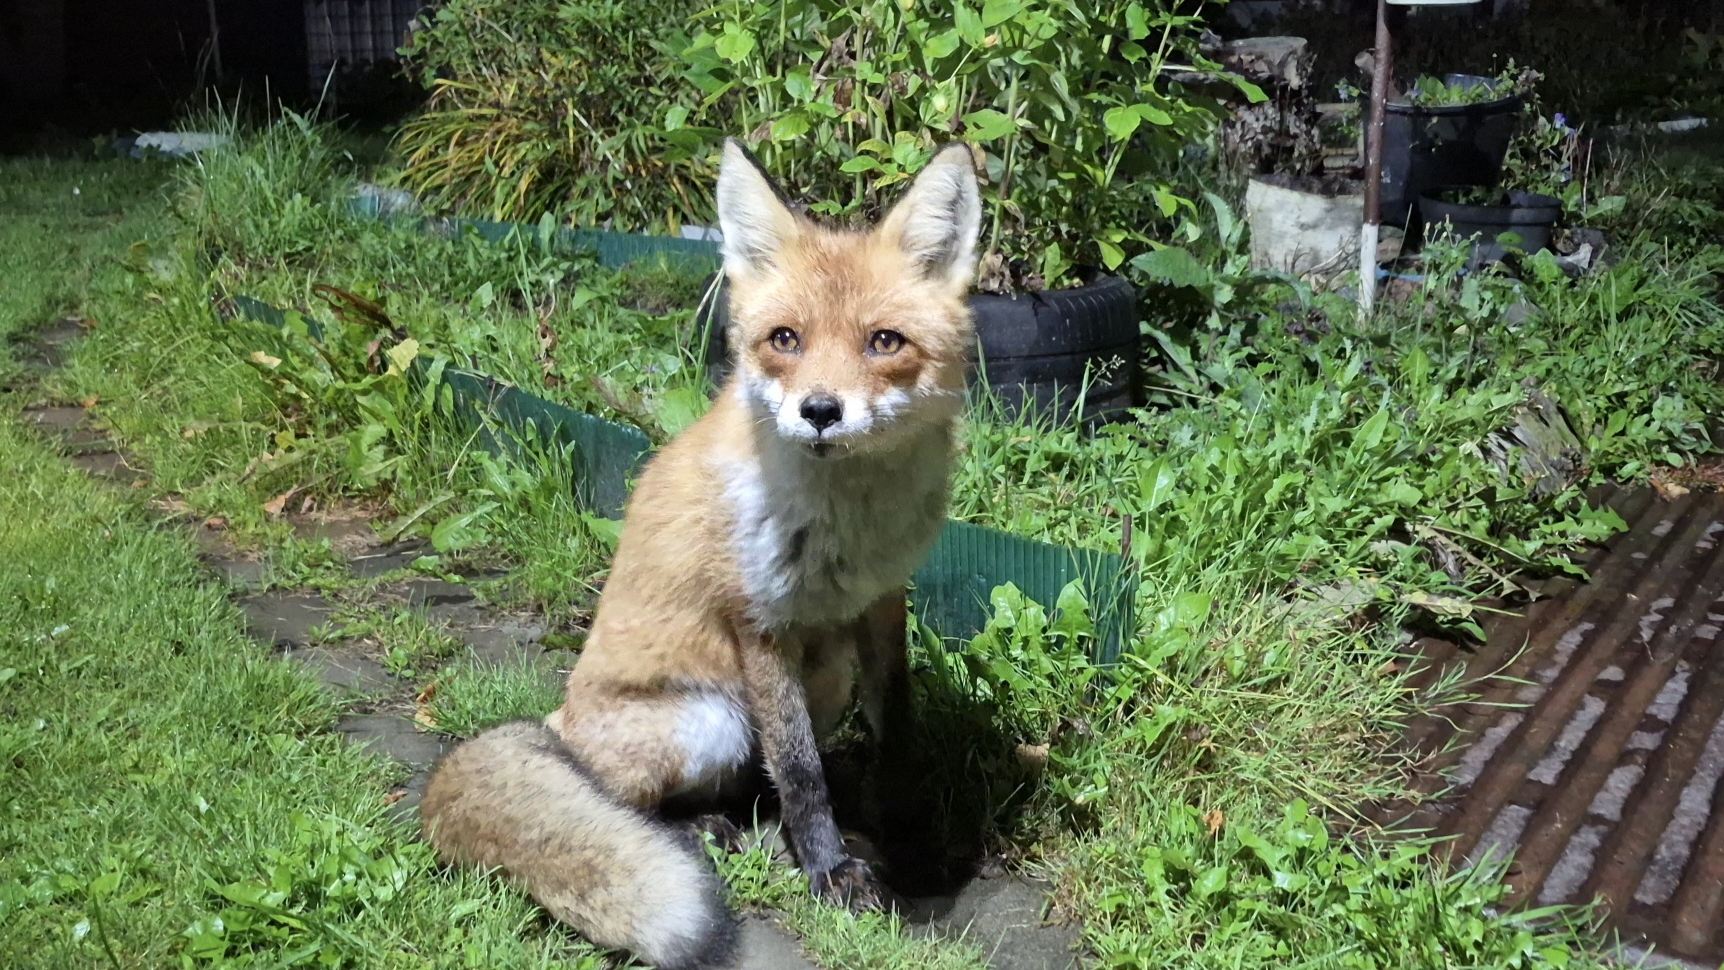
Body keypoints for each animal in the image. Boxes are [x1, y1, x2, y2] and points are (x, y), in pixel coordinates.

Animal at [419, 137, 983, 970]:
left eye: (884, 342)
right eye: (785, 340)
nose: (820, 411)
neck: (848, 525)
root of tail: (557, 722)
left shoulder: (882, 603)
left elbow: (894, 735)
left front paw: (905, 839)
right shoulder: (759, 622)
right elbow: (801, 770)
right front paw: (829, 872)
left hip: (825, 675)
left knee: (753, 779)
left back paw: (756, 825)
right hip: (711, 716)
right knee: (629, 795)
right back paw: (697, 832)